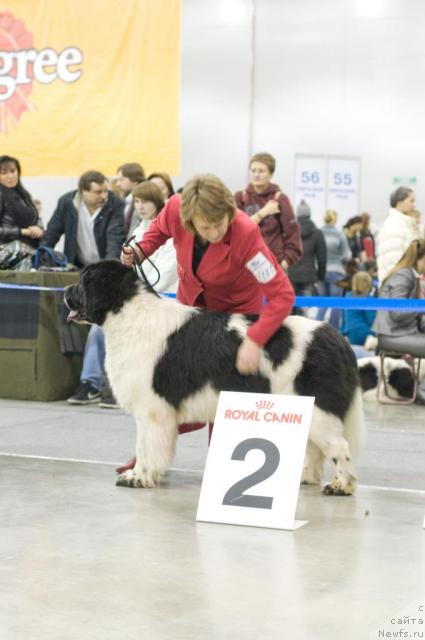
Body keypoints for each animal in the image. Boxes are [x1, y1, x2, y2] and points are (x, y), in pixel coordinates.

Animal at [65, 258, 364, 496]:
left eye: (85, 281)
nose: (66, 291)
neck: (129, 313)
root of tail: (337, 338)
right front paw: (140, 474)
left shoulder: (152, 409)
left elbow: (146, 446)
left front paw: (139, 477)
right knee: (316, 447)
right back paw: (306, 477)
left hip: (319, 408)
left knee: (338, 446)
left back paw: (341, 485)